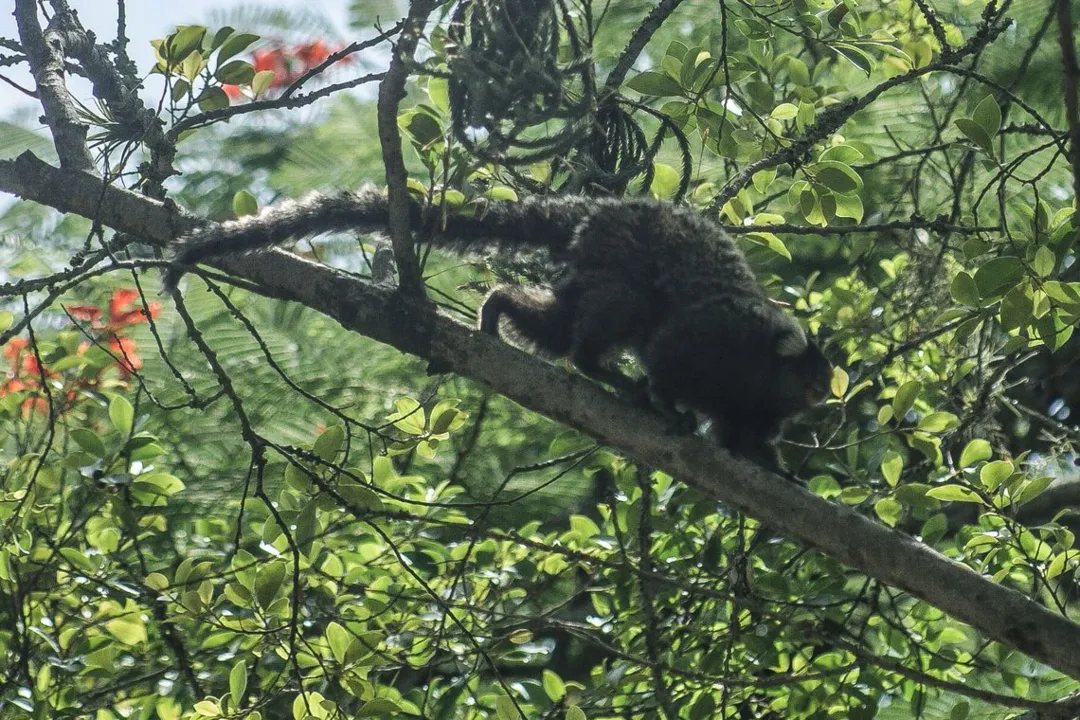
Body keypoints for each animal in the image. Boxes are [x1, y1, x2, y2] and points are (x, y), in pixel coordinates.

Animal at [162, 185, 833, 468]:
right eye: (814, 379)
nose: (825, 396)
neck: (760, 371)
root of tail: (599, 212)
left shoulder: (756, 409)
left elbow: (745, 439)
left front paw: (776, 472)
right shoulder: (716, 342)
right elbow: (669, 355)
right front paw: (667, 405)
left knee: (560, 325)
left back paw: (501, 307)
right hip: (619, 258)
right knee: (625, 312)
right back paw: (602, 370)